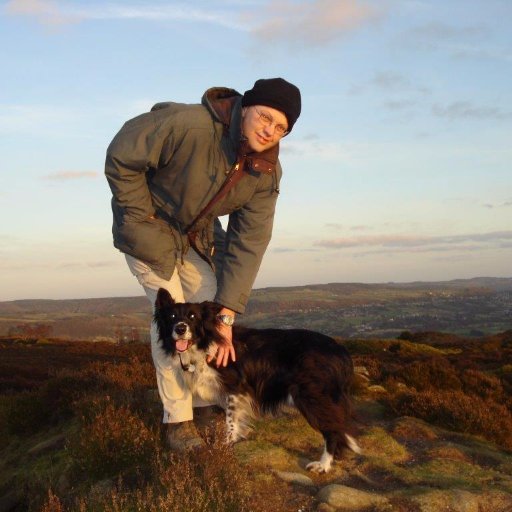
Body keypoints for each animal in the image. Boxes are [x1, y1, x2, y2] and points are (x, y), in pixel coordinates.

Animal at [154, 288, 358, 472]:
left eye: (193, 316)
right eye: (172, 316)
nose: (180, 328)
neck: (206, 343)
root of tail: (341, 351)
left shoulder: (235, 387)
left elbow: (231, 421)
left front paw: (224, 447)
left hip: (312, 396)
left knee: (333, 430)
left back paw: (323, 465)